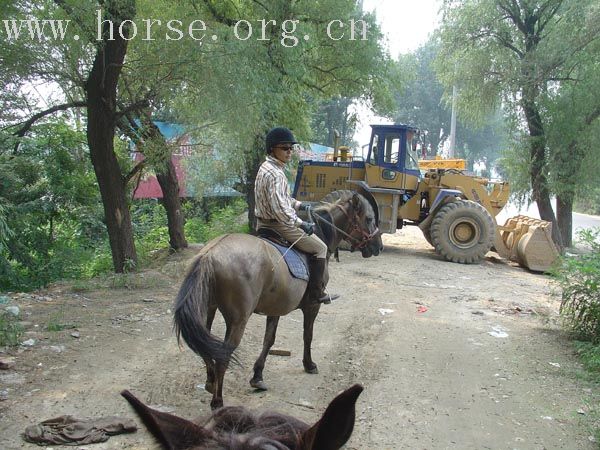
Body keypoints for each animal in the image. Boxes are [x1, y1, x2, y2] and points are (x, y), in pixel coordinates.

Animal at [173, 190, 382, 408]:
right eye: (369, 219)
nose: (378, 246)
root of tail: (210, 254)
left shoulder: (276, 308)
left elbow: (269, 340)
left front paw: (257, 377)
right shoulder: (312, 306)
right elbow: (308, 335)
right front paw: (309, 364)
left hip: (209, 310)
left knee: (206, 348)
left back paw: (210, 382)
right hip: (238, 321)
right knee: (223, 356)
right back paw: (217, 401)